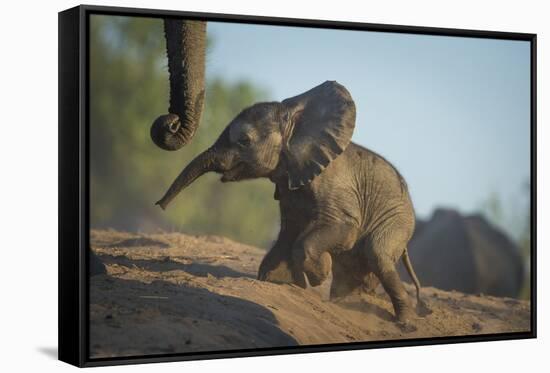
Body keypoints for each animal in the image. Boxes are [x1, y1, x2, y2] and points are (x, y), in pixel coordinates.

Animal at [157, 81, 424, 322]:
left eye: (244, 141)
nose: (160, 205)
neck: (295, 123)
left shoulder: (334, 185)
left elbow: (341, 229)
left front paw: (318, 275)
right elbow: (289, 230)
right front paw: (279, 281)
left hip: (398, 220)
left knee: (377, 253)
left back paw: (404, 322)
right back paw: (348, 301)